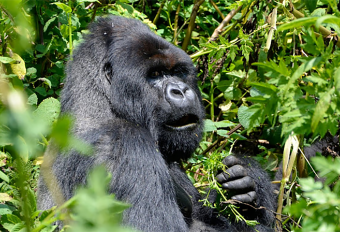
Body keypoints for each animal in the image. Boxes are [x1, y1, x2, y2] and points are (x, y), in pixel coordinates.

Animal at [37, 15, 276, 231]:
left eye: (177, 72)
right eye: (155, 74)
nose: (181, 90)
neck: (103, 105)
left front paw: (246, 181)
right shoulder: (124, 145)